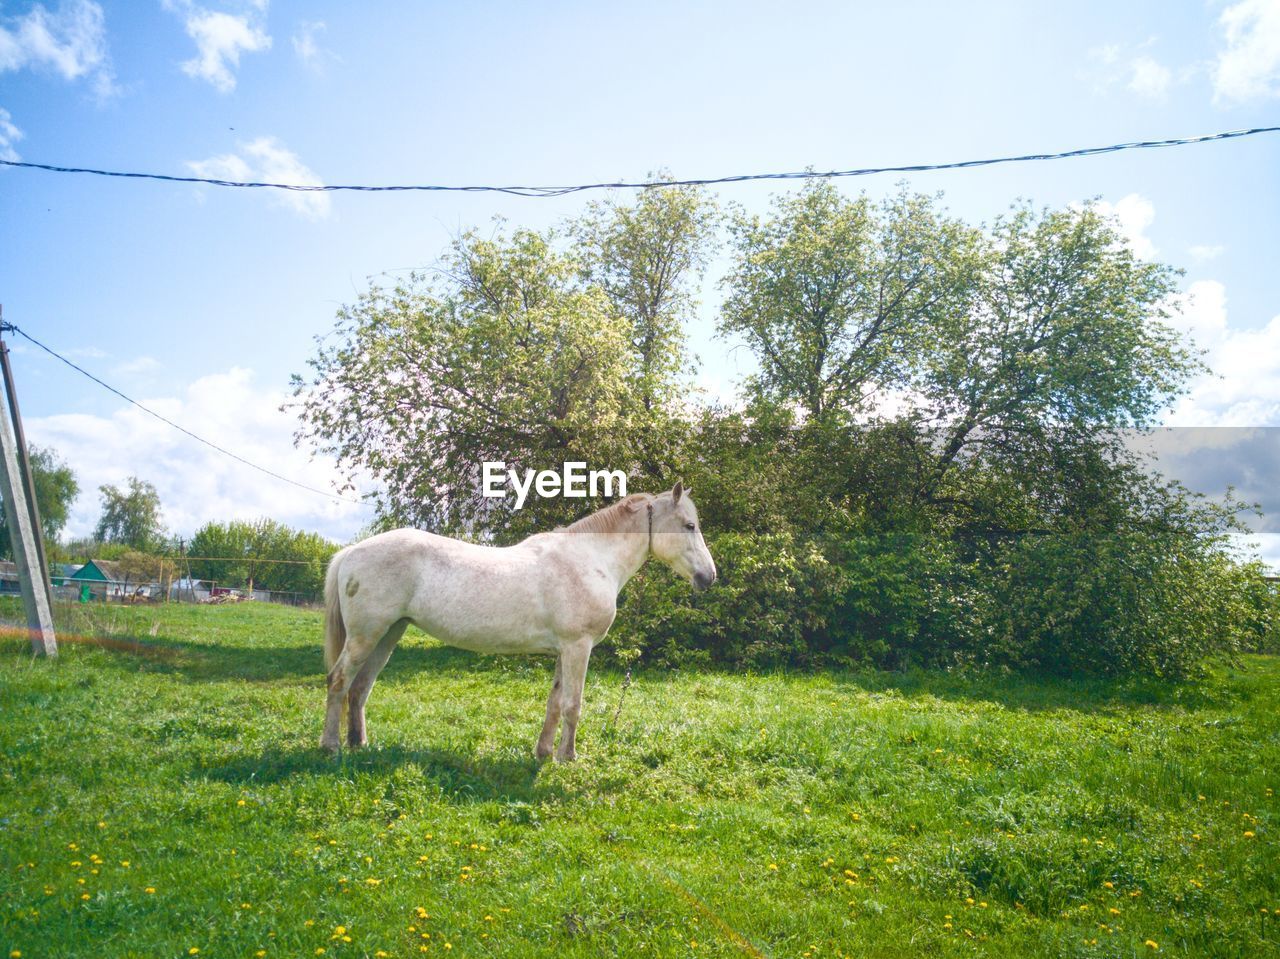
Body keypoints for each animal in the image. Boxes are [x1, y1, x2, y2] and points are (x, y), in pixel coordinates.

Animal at [320, 481, 716, 757]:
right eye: (689, 525)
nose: (708, 577)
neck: (590, 560)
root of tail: (351, 552)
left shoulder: (563, 651)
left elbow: (554, 703)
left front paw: (542, 754)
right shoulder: (578, 647)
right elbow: (573, 704)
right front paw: (567, 757)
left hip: (388, 634)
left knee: (360, 687)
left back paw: (359, 744)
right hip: (366, 636)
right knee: (339, 681)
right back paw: (331, 746)